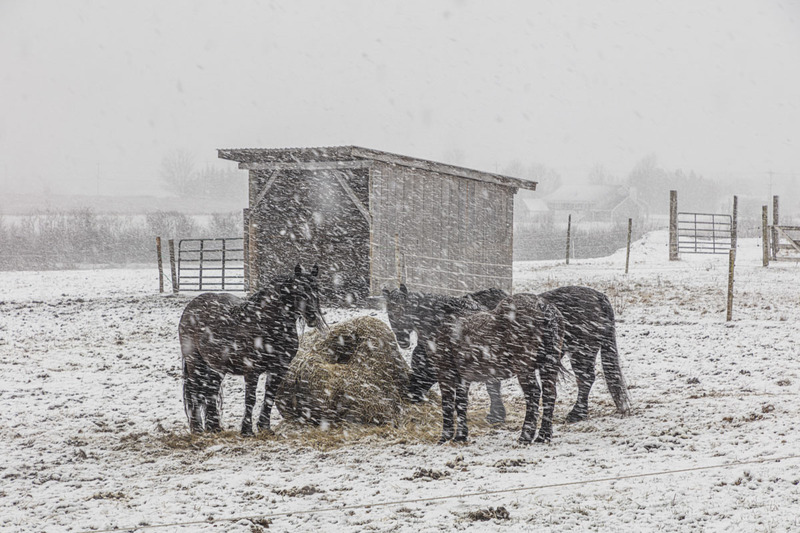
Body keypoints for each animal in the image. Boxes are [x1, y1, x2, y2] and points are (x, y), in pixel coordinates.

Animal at [179, 264, 325, 435]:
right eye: (299, 290)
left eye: (316, 289)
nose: (313, 316)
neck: (267, 324)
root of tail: (190, 307)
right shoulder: (251, 370)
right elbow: (250, 399)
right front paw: (247, 430)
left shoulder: (279, 368)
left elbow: (270, 396)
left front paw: (265, 427)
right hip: (195, 362)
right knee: (195, 391)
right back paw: (197, 429)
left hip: (215, 366)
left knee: (211, 391)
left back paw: (214, 427)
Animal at [384, 284, 631, 424]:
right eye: (389, 312)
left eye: (421, 364)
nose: (411, 394)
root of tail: (599, 297)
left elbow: (492, 387)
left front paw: (496, 415)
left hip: (581, 353)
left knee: (586, 380)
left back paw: (576, 414)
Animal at [431, 293, 565, 444]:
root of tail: (542, 306)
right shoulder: (463, 377)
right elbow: (461, 403)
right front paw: (460, 435)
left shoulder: (445, 372)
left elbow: (447, 403)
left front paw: (445, 437)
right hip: (548, 366)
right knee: (549, 394)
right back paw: (543, 436)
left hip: (524, 368)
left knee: (533, 394)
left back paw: (525, 436)